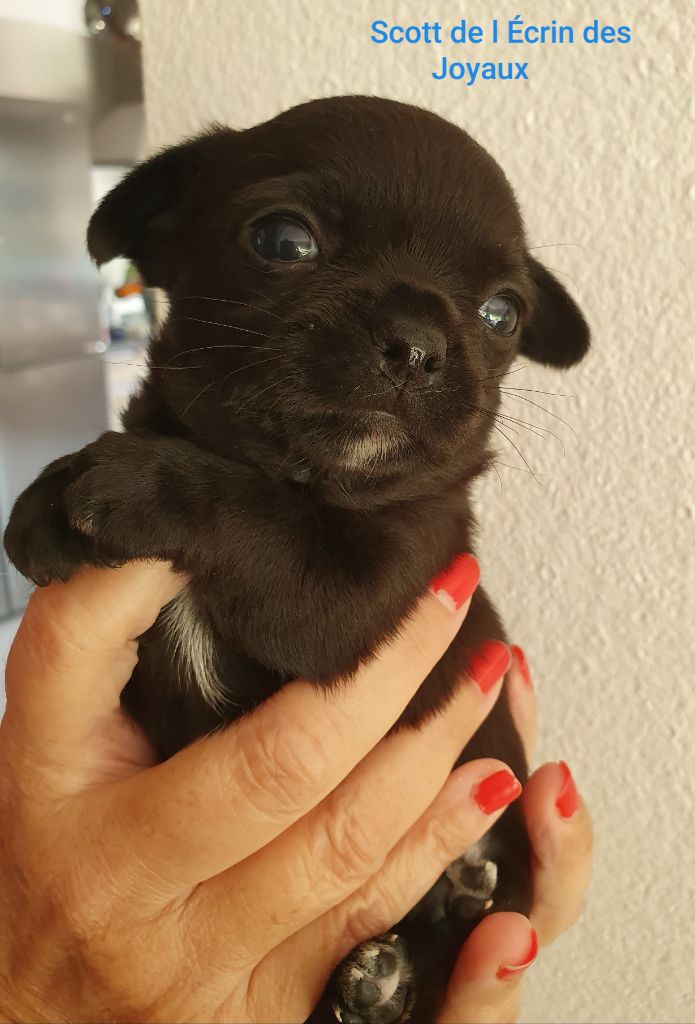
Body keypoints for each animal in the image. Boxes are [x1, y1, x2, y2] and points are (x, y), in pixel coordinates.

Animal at [4, 95, 589, 1022]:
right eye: (283, 241)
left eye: (502, 313)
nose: (418, 341)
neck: (309, 474)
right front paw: (46, 498)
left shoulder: (363, 590)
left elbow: (259, 516)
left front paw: (139, 482)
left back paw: (408, 959)